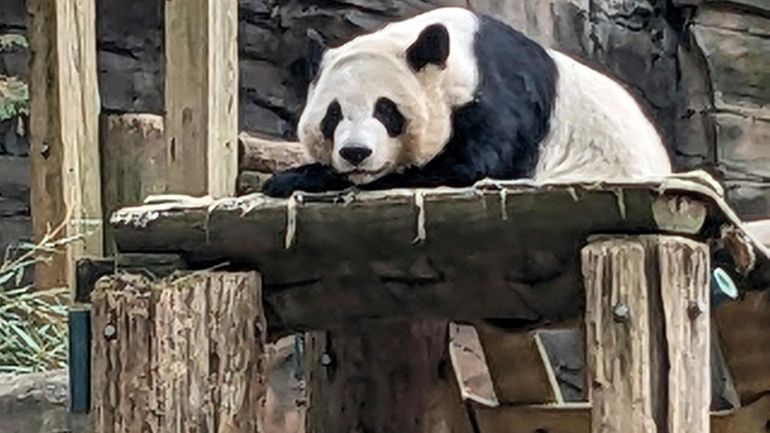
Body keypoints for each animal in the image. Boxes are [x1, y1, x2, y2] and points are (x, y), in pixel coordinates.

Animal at [260, 7, 668, 197]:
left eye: (386, 110)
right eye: (333, 115)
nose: (356, 153)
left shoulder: (500, 99)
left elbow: (468, 167)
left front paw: (293, 178)